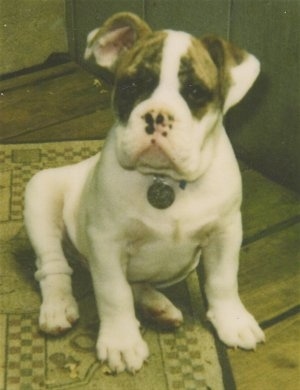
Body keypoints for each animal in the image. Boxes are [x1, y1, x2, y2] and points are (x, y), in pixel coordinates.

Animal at [25, 12, 264, 374]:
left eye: (195, 92)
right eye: (132, 87)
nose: (157, 116)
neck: (164, 180)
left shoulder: (225, 233)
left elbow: (223, 280)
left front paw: (233, 320)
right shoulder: (106, 242)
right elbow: (113, 293)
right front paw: (122, 342)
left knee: (136, 283)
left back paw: (157, 307)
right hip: (39, 195)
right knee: (53, 267)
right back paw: (58, 308)